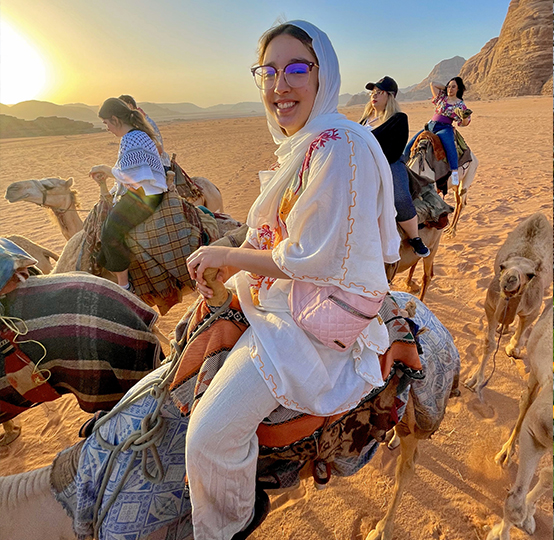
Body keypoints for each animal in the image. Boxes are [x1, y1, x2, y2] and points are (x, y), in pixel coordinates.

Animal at [464, 212, 548, 400]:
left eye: (530, 275)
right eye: (502, 266)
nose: (510, 279)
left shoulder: (533, 309)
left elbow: (522, 328)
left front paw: (513, 348)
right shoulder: (491, 306)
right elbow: (489, 343)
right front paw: (474, 381)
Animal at [486, 304, 548, 540]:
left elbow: (548, 477)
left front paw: (529, 516)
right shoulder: (537, 432)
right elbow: (514, 505)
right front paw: (498, 534)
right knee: (526, 404)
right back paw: (505, 455)